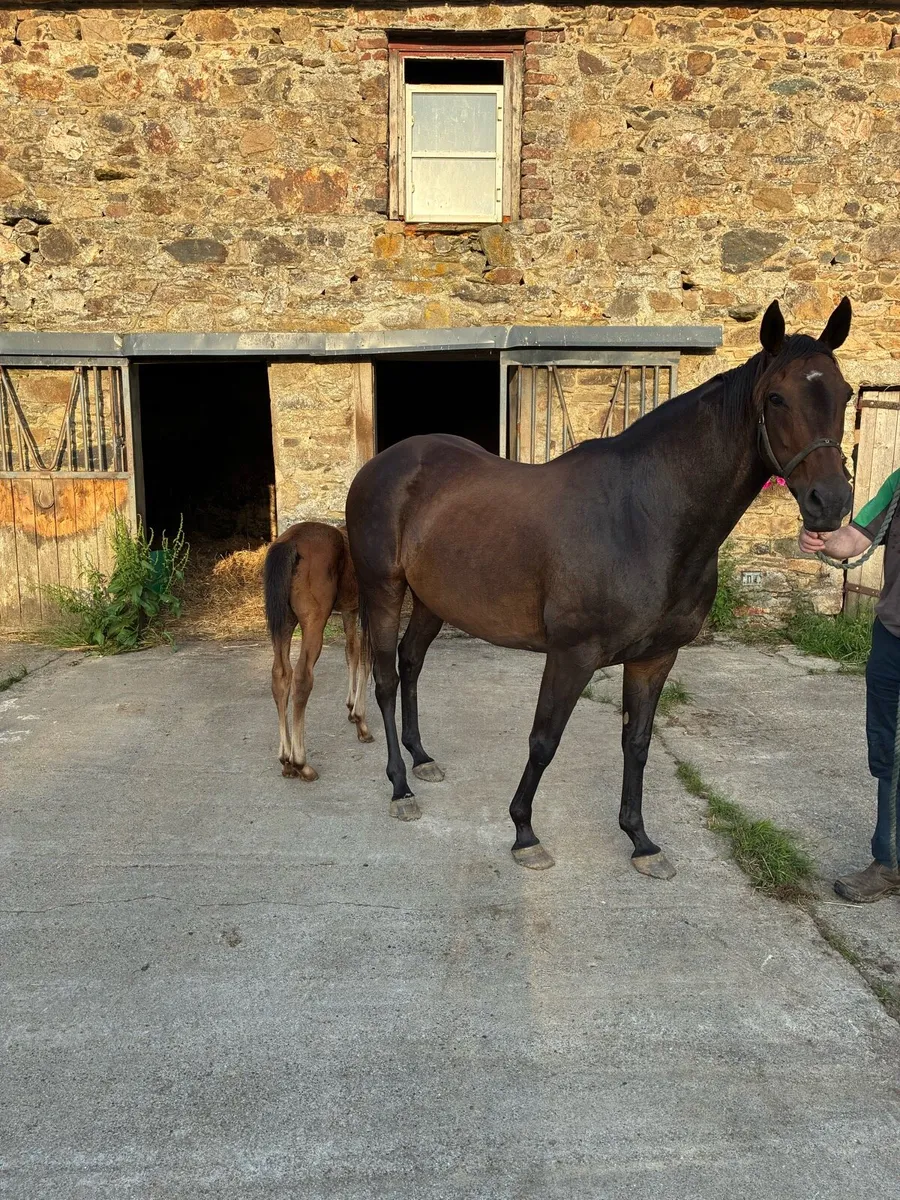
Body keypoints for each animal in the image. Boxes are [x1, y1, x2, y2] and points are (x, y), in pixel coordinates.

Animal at [263, 522, 372, 781]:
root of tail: (290, 543)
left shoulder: (350, 609)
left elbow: (351, 652)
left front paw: (351, 708)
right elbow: (366, 656)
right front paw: (361, 722)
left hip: (284, 622)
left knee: (280, 676)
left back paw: (286, 761)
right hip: (313, 621)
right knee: (302, 676)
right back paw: (301, 763)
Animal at [345, 299, 854, 877]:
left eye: (845, 394)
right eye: (776, 397)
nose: (831, 502)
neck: (645, 518)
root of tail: (383, 465)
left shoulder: (656, 657)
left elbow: (637, 742)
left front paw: (641, 840)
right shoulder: (572, 654)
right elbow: (544, 740)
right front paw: (524, 833)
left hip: (434, 599)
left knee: (411, 663)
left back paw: (422, 758)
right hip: (383, 590)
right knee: (386, 680)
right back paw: (400, 787)